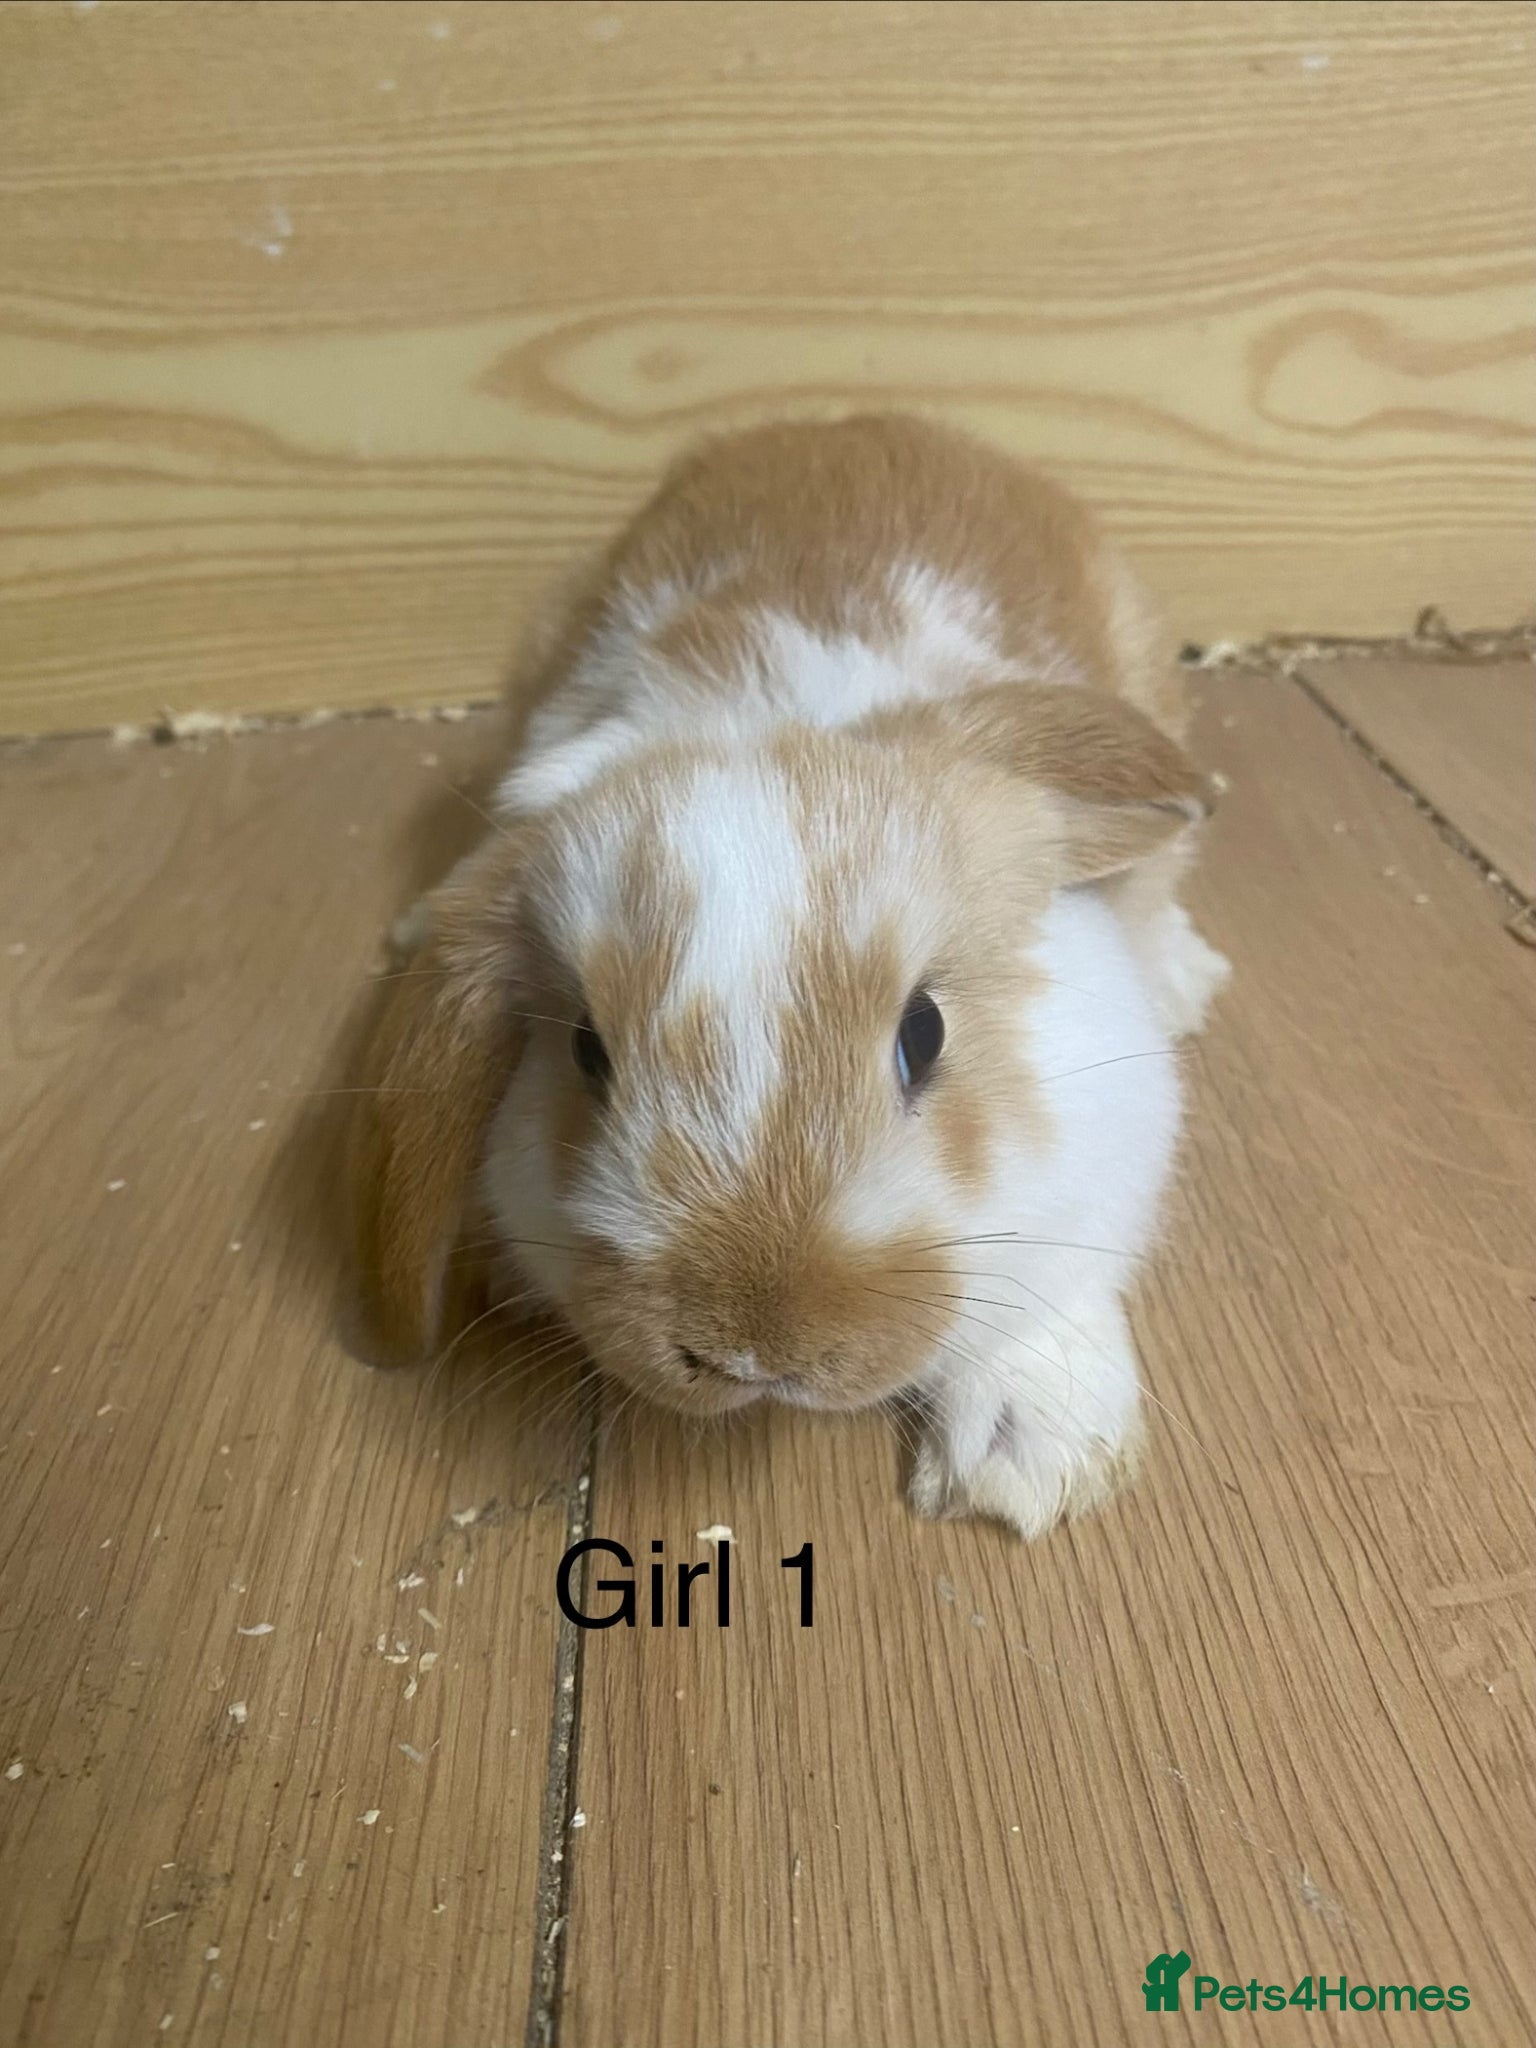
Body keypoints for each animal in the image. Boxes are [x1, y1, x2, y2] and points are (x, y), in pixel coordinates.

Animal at [350, 413, 1229, 1540]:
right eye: (586, 1051)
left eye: (925, 1033)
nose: (757, 1350)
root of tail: (862, 418)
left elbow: (1050, 1289)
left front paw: (1029, 1467)